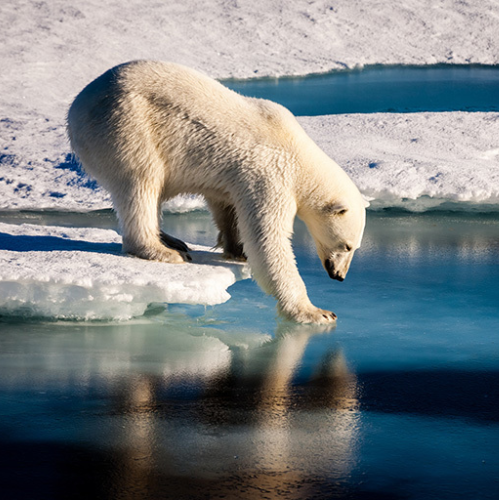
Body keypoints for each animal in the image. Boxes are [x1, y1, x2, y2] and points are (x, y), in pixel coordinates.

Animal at [68, 60, 368, 324]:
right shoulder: (270, 175)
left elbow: (227, 206)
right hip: (127, 126)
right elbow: (268, 239)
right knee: (141, 182)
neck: (298, 153)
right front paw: (316, 312)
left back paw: (172, 240)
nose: (339, 275)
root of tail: (77, 106)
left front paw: (237, 249)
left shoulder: (235, 177)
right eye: (347, 245)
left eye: (354, 247)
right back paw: (164, 251)